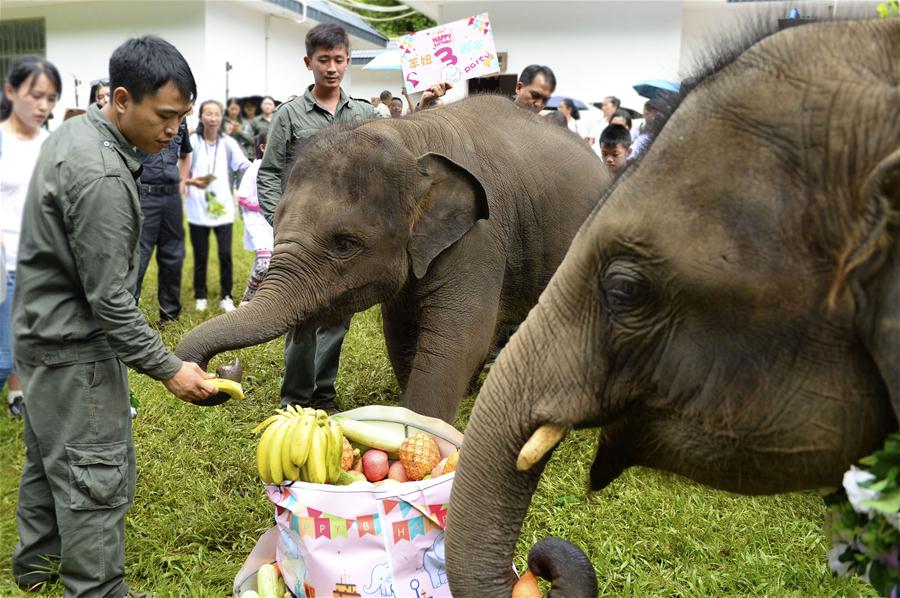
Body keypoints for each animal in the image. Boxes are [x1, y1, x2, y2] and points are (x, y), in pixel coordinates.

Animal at [175, 95, 608, 422]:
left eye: (344, 243)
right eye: (275, 221)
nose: (224, 371)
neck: (411, 136)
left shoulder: (480, 238)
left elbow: (458, 337)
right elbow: (400, 331)